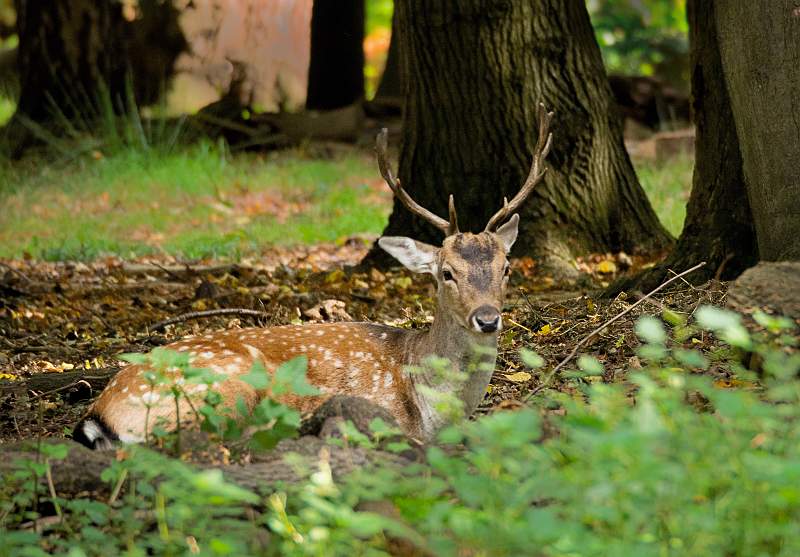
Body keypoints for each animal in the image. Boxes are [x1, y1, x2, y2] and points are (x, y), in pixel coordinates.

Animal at [73, 105, 554, 449]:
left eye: (506, 267)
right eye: (446, 273)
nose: (487, 319)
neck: (431, 403)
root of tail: (100, 414)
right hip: (224, 390)